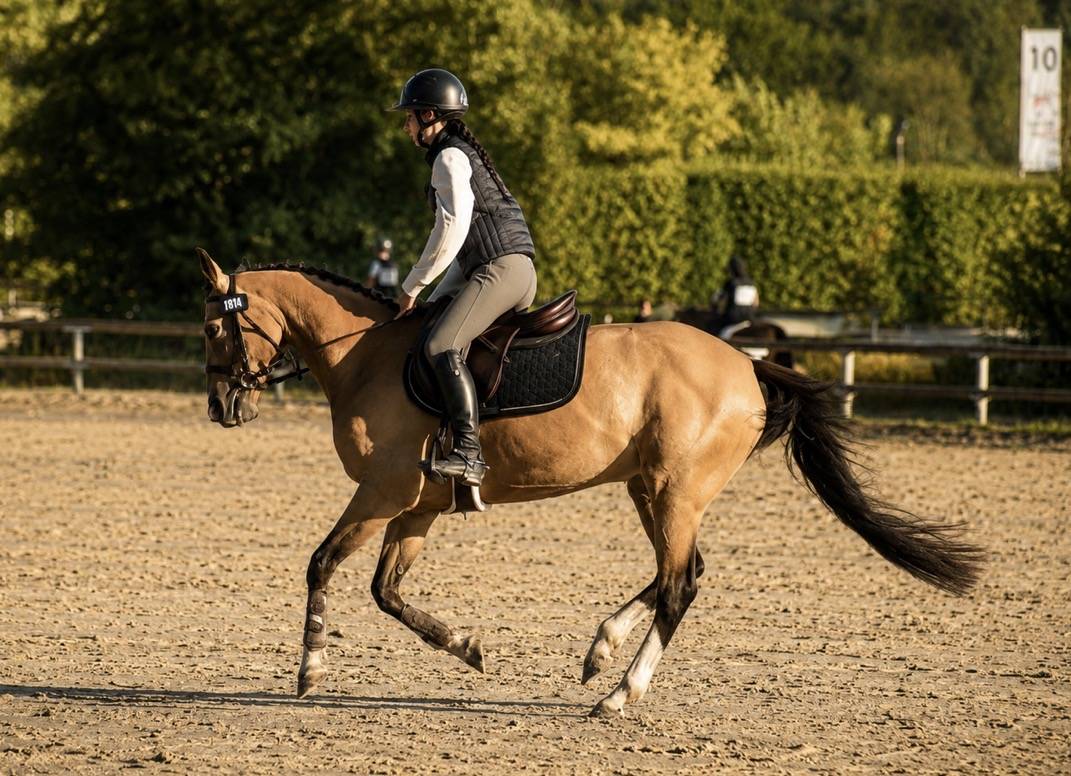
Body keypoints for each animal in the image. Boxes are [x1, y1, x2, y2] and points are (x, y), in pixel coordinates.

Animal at [198, 249, 984, 717]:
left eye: (213, 331)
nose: (222, 408)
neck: (366, 355)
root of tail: (746, 363)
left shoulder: (381, 495)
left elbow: (322, 565)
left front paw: (310, 667)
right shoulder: (415, 507)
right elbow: (387, 593)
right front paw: (468, 647)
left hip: (673, 491)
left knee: (679, 583)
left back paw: (618, 695)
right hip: (650, 489)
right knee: (680, 572)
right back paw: (600, 649)